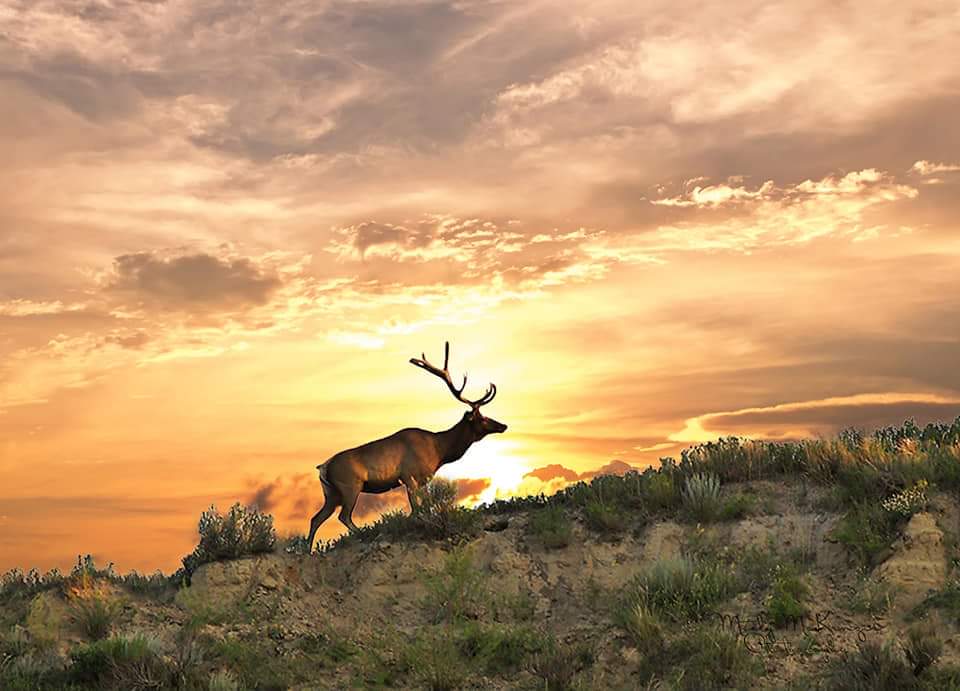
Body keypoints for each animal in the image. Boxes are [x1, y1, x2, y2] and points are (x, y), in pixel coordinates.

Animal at [307, 342, 507, 549]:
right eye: (482, 418)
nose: (503, 425)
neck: (439, 450)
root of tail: (323, 466)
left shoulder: (423, 479)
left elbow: (424, 507)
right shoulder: (409, 475)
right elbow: (417, 509)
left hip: (331, 494)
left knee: (316, 519)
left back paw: (308, 550)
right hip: (350, 486)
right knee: (343, 516)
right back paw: (364, 534)